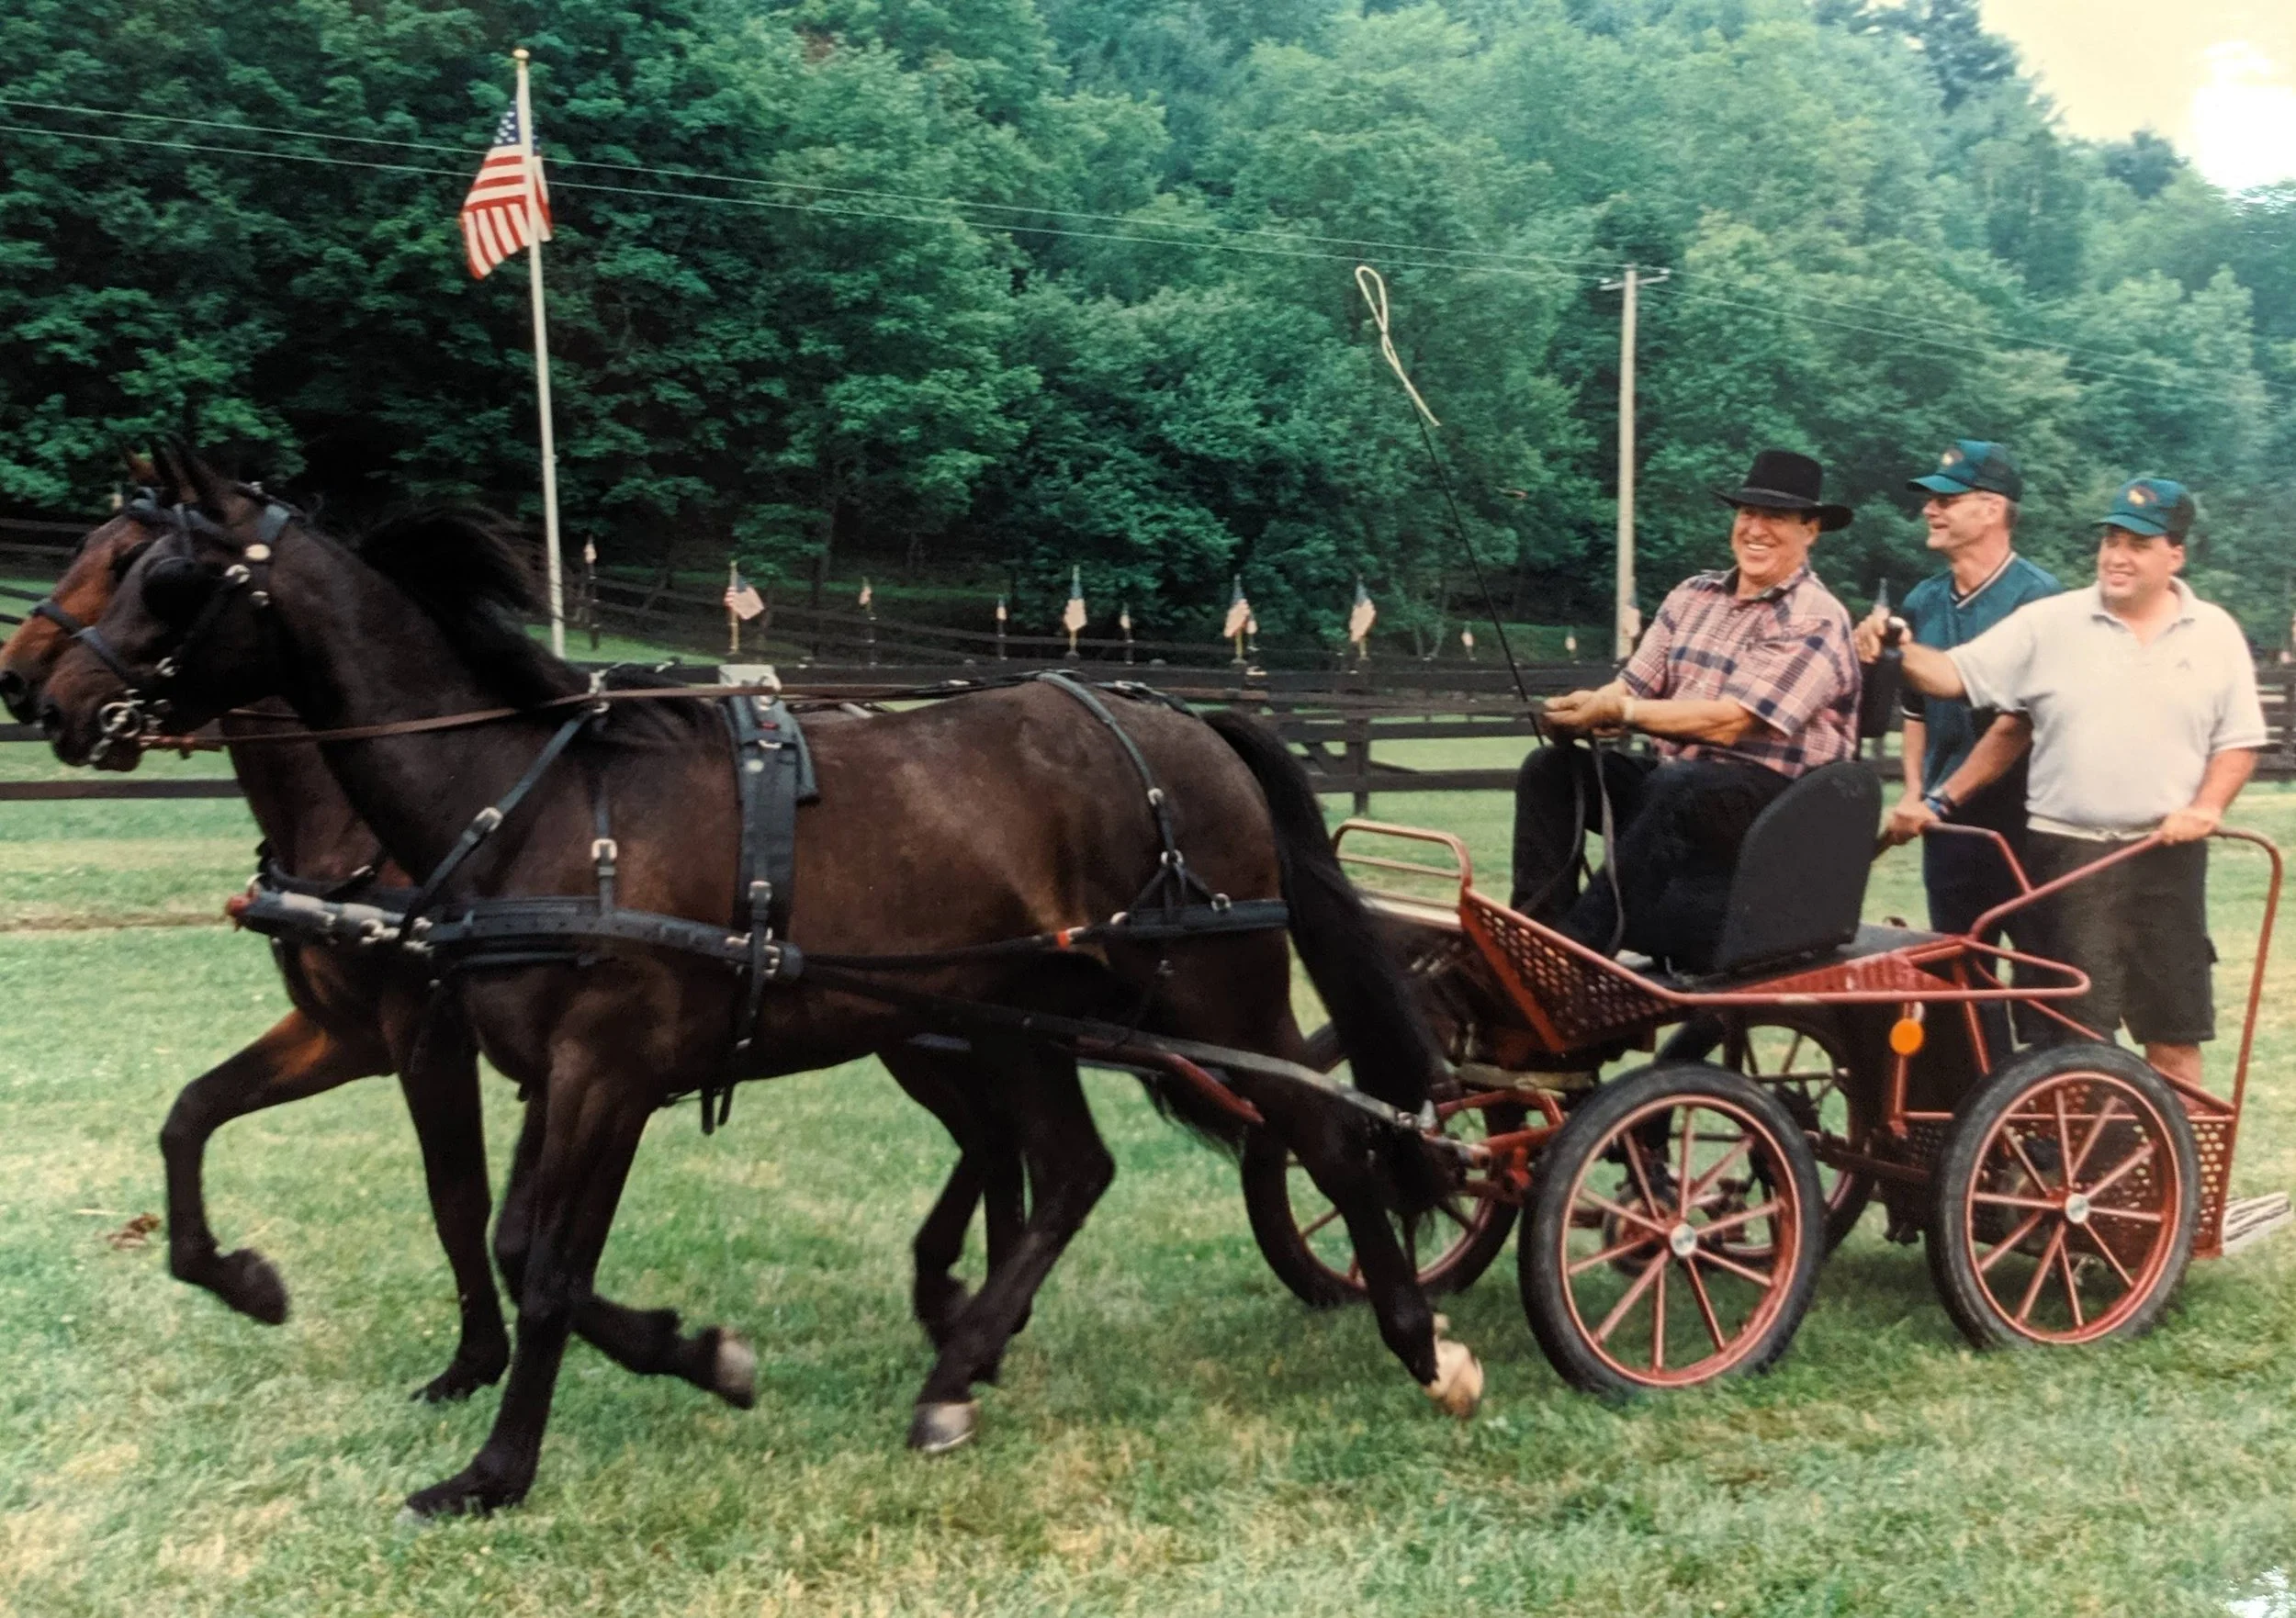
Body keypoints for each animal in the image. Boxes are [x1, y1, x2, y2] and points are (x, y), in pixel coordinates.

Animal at [39, 449, 1475, 1519]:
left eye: (162, 572)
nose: (39, 698)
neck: (534, 803)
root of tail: (1183, 721)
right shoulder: (537, 1073)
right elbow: (504, 1238)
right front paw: (685, 1357)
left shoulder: (599, 1072)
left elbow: (541, 1265)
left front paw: (499, 1466)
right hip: (1008, 1022)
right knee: (1071, 1169)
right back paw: (960, 1363)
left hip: (1213, 995)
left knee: (1333, 1140)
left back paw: (1417, 1336)